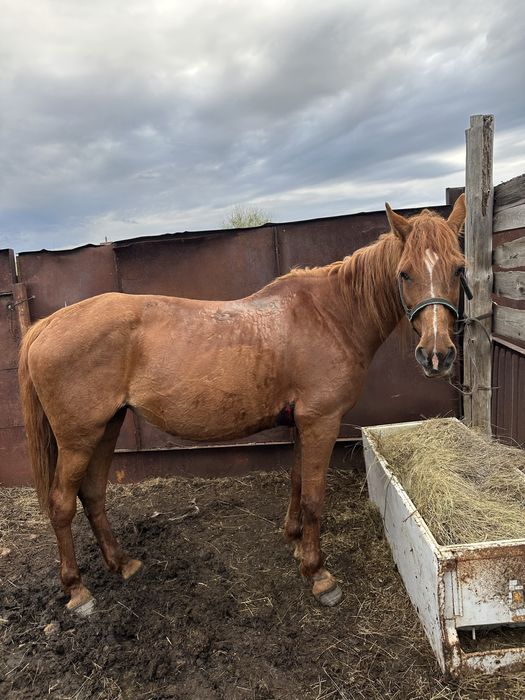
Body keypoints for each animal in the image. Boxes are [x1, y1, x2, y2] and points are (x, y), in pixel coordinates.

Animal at [18, 195, 467, 614]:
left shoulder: (303, 422)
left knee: (93, 494)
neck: (330, 315)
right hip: (78, 438)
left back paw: (122, 563)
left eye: (458, 269)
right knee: (62, 504)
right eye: (405, 273)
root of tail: (47, 324)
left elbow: (297, 481)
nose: (437, 355)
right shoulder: (321, 420)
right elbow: (314, 496)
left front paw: (294, 541)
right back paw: (77, 590)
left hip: (107, 427)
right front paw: (318, 573)